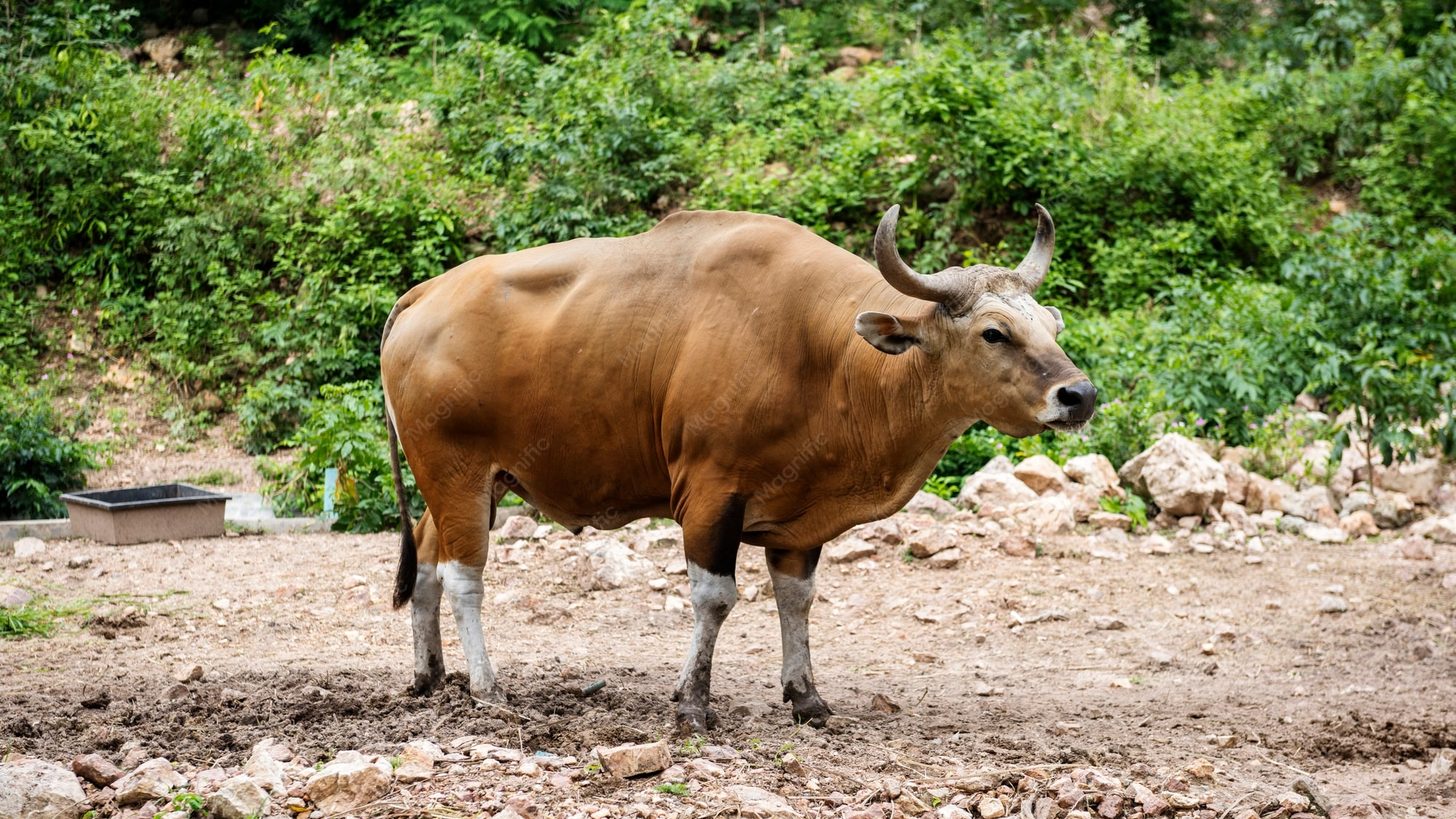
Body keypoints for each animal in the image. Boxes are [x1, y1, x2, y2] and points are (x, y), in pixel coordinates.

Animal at [380, 204, 1095, 734]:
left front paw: (806, 696)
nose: (1079, 394)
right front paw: (692, 704)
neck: (827, 357)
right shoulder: (709, 493)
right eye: (993, 332)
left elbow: (797, 599)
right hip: (457, 471)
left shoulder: (801, 519)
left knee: (427, 565)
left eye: (1052, 325)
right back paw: (486, 687)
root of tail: (424, 294)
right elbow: (715, 597)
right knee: (464, 578)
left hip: (470, 484)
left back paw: (429, 677)